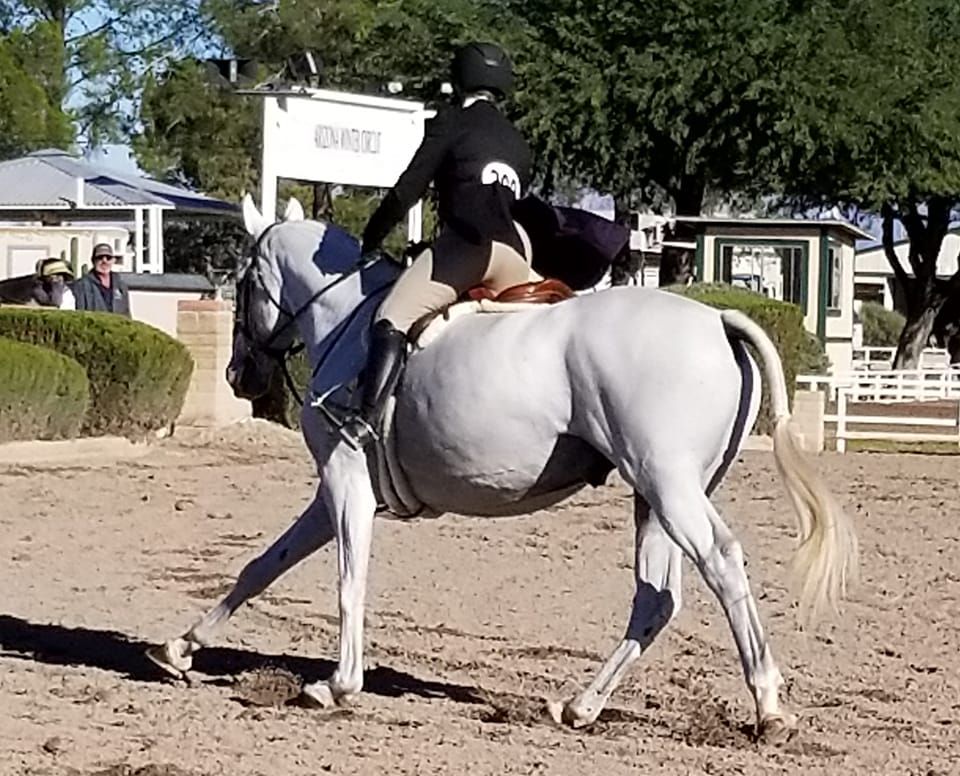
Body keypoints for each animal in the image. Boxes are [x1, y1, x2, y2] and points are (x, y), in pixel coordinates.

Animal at [148, 197, 856, 744]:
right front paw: (179, 648)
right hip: (657, 496)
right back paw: (581, 706)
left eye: (242, 282)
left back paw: (769, 710)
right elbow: (263, 564)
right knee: (656, 598)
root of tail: (718, 319)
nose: (240, 374)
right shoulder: (335, 491)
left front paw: (337, 686)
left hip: (669, 484)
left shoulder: (346, 481)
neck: (345, 320)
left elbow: (349, 581)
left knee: (722, 564)